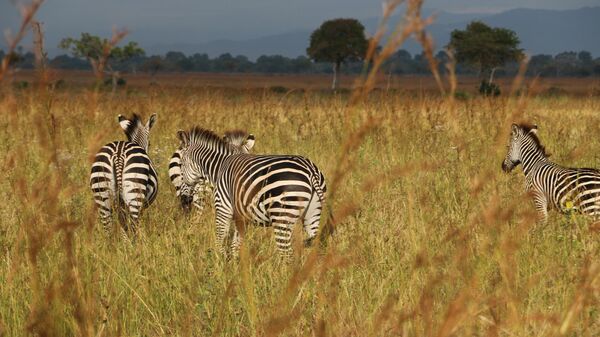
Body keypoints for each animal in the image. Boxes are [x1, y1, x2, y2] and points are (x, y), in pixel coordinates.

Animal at [176, 126, 326, 258]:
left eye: (180, 165)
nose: (184, 199)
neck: (220, 166)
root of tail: (310, 170)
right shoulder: (241, 215)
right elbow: (236, 243)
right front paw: (234, 264)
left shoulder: (223, 207)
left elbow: (220, 237)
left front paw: (220, 261)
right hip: (313, 214)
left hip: (282, 215)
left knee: (286, 254)